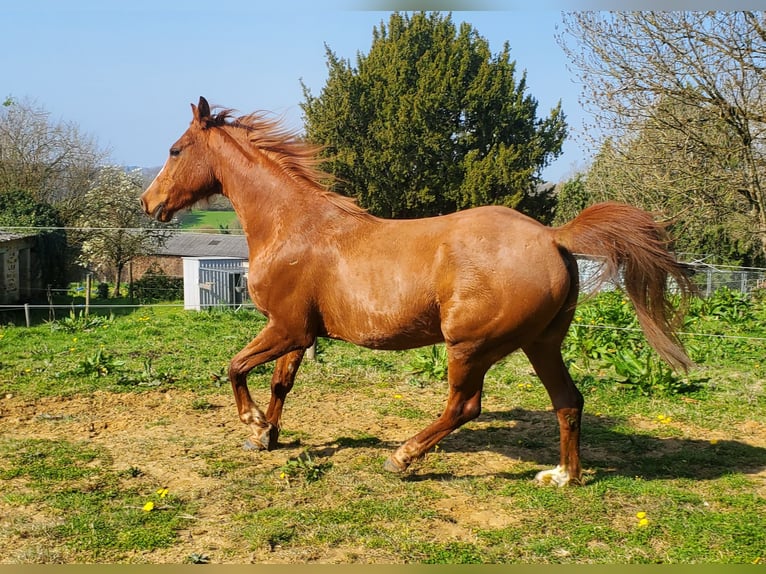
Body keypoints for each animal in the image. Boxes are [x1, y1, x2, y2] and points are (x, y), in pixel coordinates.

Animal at [141, 97, 693, 486]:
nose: (149, 203)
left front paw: (252, 423)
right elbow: (281, 383)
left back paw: (402, 458)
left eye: (174, 150)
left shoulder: (287, 328)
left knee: (464, 407)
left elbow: (236, 367)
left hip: (470, 346)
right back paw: (562, 477)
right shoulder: (297, 333)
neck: (292, 226)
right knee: (568, 401)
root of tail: (553, 237)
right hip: (541, 344)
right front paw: (266, 436)